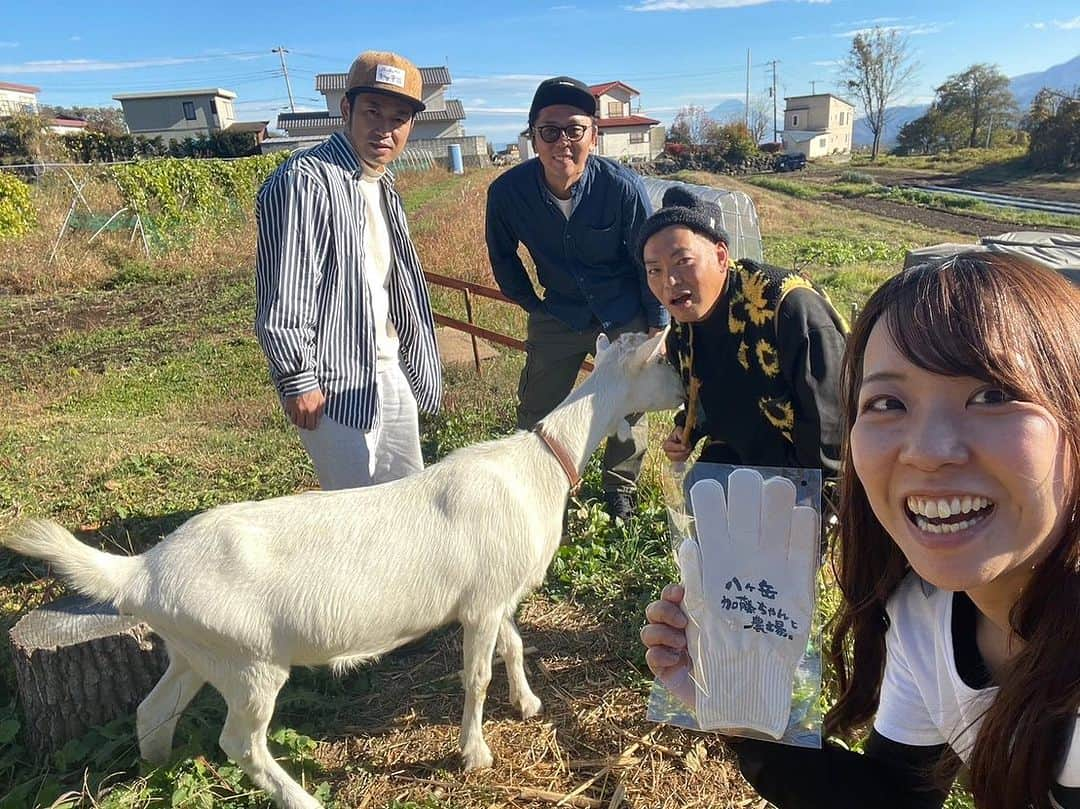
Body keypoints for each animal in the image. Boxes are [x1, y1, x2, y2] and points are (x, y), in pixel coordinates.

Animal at [2, 328, 682, 807]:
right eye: (661, 361)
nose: (683, 393)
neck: (537, 463)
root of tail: (140, 572)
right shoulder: (484, 600)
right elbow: (475, 678)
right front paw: (475, 755)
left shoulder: (490, 595)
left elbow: (512, 647)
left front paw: (530, 704)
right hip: (250, 664)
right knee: (239, 743)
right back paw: (300, 798)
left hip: (197, 651)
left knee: (154, 711)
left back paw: (158, 771)